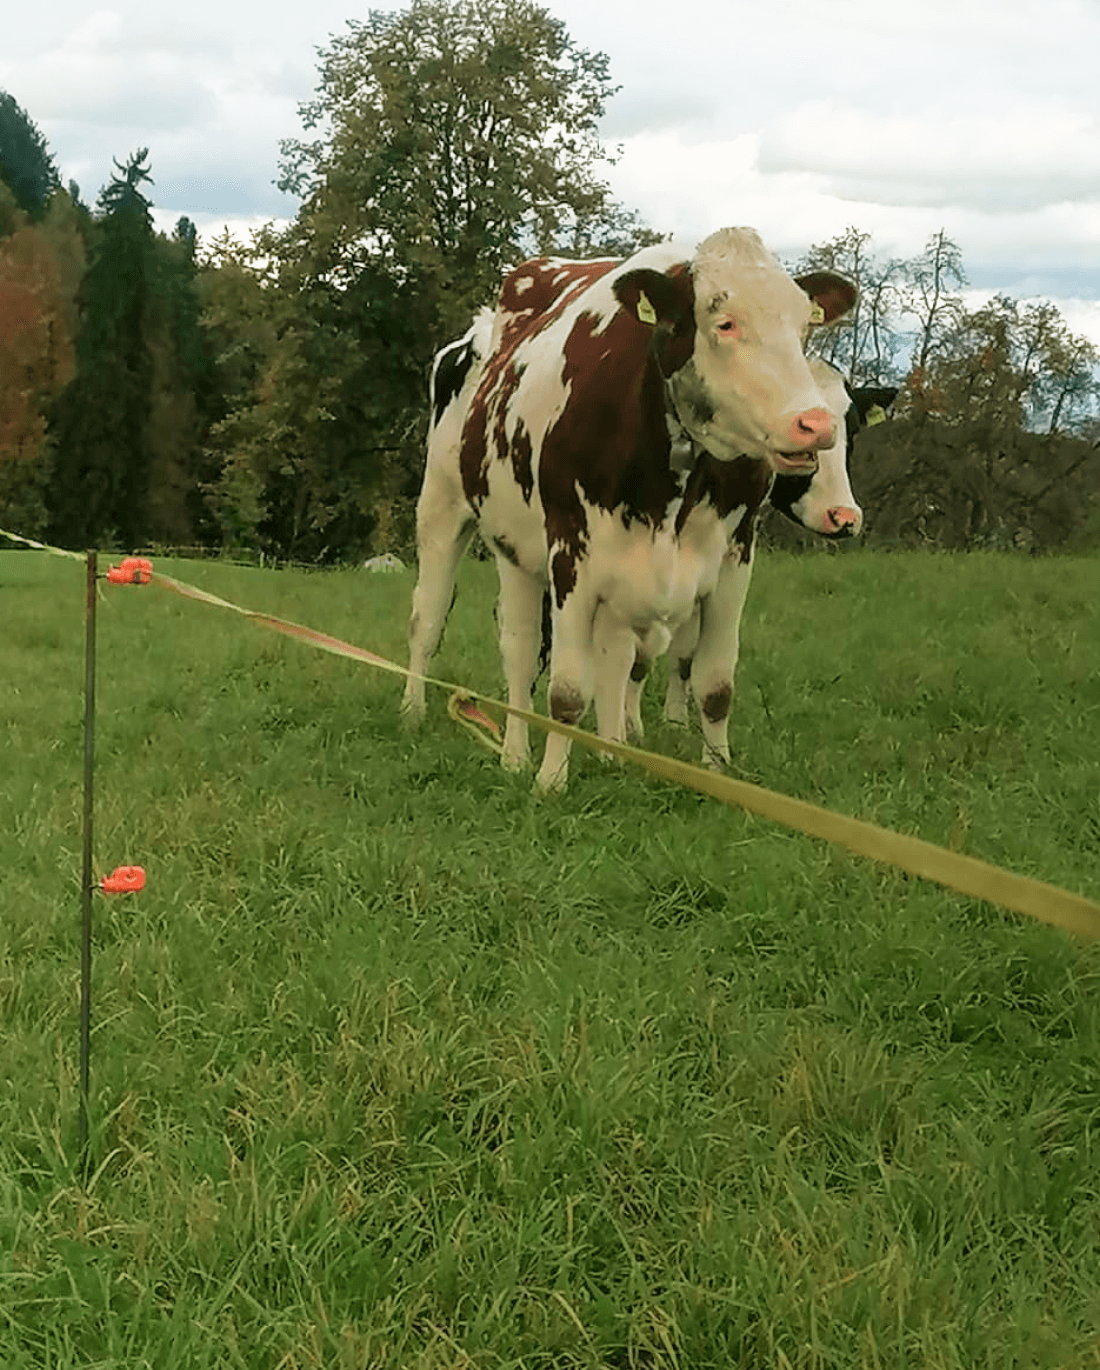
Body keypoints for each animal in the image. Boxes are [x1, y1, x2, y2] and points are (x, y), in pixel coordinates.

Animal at [402, 228, 858, 791]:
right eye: (725, 323)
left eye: (802, 327)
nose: (814, 424)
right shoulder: (570, 551)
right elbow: (566, 691)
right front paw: (550, 782)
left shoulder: (734, 557)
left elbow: (712, 684)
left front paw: (715, 771)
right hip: (449, 511)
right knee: (459, 627)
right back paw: (467, 734)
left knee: (593, 656)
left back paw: (607, 752)